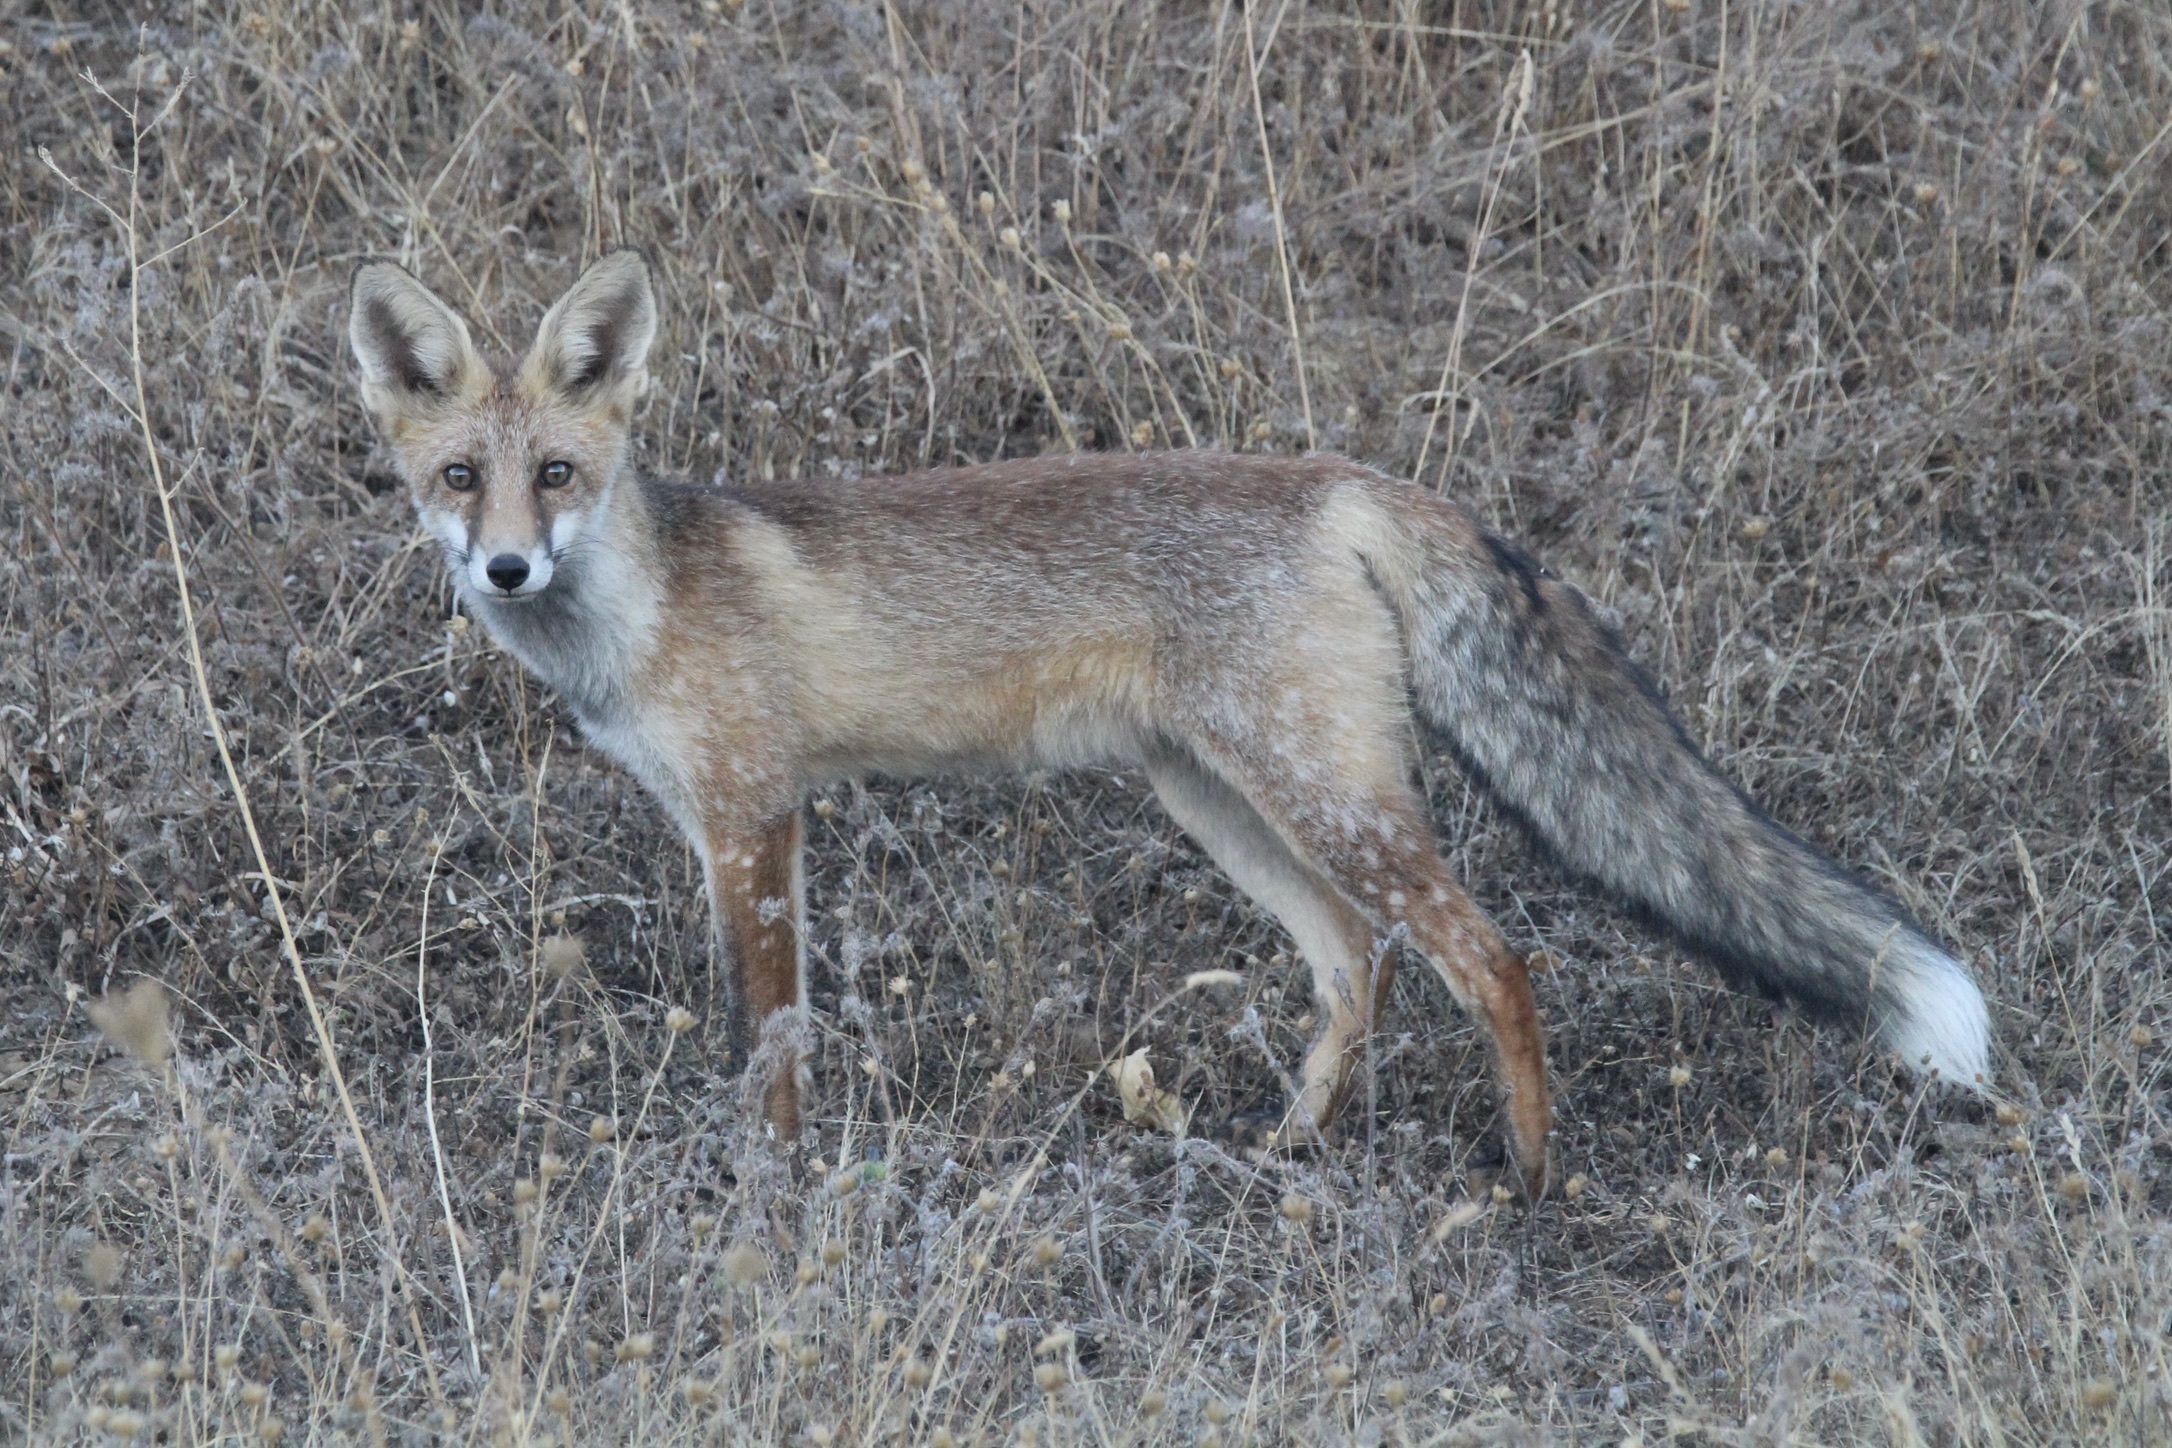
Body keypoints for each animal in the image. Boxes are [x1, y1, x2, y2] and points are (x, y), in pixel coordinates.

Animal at [347, 249, 1991, 1194]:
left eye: (558, 475)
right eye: (460, 481)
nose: (503, 568)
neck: (643, 609)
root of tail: (1341, 476)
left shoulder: (760, 814)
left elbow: (774, 1041)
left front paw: (772, 1196)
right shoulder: (716, 828)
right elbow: (759, 1028)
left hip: (1318, 793)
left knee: (1490, 957)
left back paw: (1528, 1178)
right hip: (1222, 799)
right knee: (1356, 961)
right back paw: (1292, 1148)